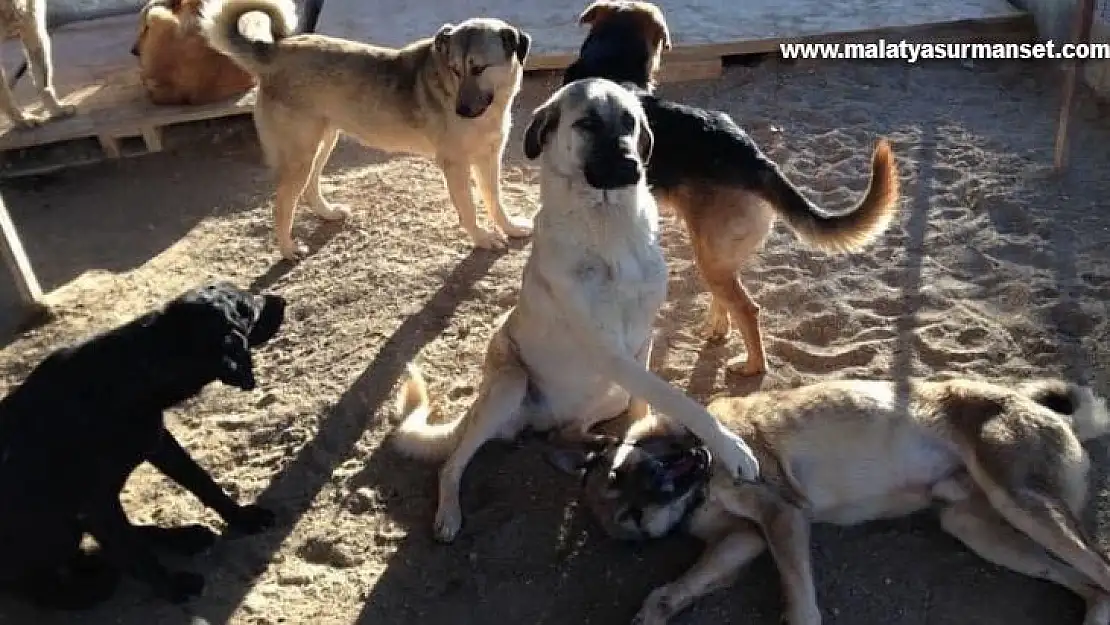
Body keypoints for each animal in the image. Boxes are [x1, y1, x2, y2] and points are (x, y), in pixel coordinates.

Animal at [1, 284, 286, 612]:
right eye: (249, 309)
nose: (281, 300)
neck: (127, 371)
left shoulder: (160, 444)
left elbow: (204, 483)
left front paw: (241, 518)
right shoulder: (94, 505)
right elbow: (136, 554)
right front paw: (173, 587)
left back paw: (183, 537)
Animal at [390, 78, 763, 546]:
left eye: (630, 123)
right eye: (586, 123)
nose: (632, 166)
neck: (608, 227)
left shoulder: (642, 340)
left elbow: (647, 402)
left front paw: (640, 435)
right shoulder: (611, 353)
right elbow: (681, 400)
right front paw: (732, 449)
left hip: (604, 394)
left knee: (569, 430)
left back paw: (589, 440)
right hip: (510, 383)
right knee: (452, 463)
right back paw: (449, 515)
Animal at [555, 377, 1110, 625]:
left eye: (630, 469)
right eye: (631, 513)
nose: (669, 477)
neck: (705, 485)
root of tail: (1048, 411)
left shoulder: (783, 516)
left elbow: (800, 603)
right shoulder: (747, 536)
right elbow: (689, 579)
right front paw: (660, 607)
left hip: (1023, 505)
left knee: (1100, 567)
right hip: (981, 530)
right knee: (1088, 583)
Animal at [563, 0, 901, 377]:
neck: (611, 63)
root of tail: (753, 157)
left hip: (710, 254)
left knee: (747, 308)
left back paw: (752, 365)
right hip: (717, 254)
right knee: (726, 297)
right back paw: (717, 331)